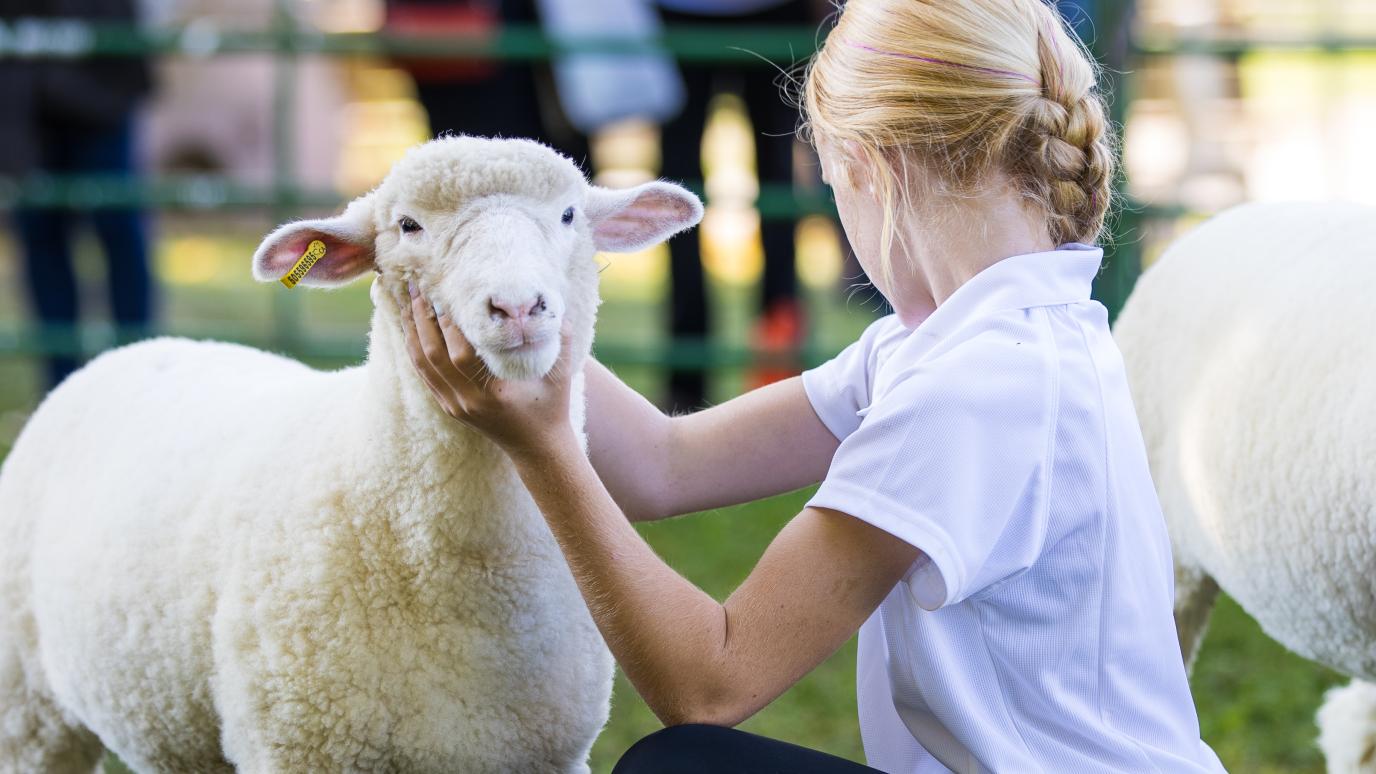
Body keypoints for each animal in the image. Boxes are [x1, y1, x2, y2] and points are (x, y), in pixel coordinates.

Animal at [0, 135, 704, 773]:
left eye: (569, 216)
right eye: (409, 225)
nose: (517, 307)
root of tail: (138, 346)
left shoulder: (545, 755)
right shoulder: (299, 746)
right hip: (27, 705)